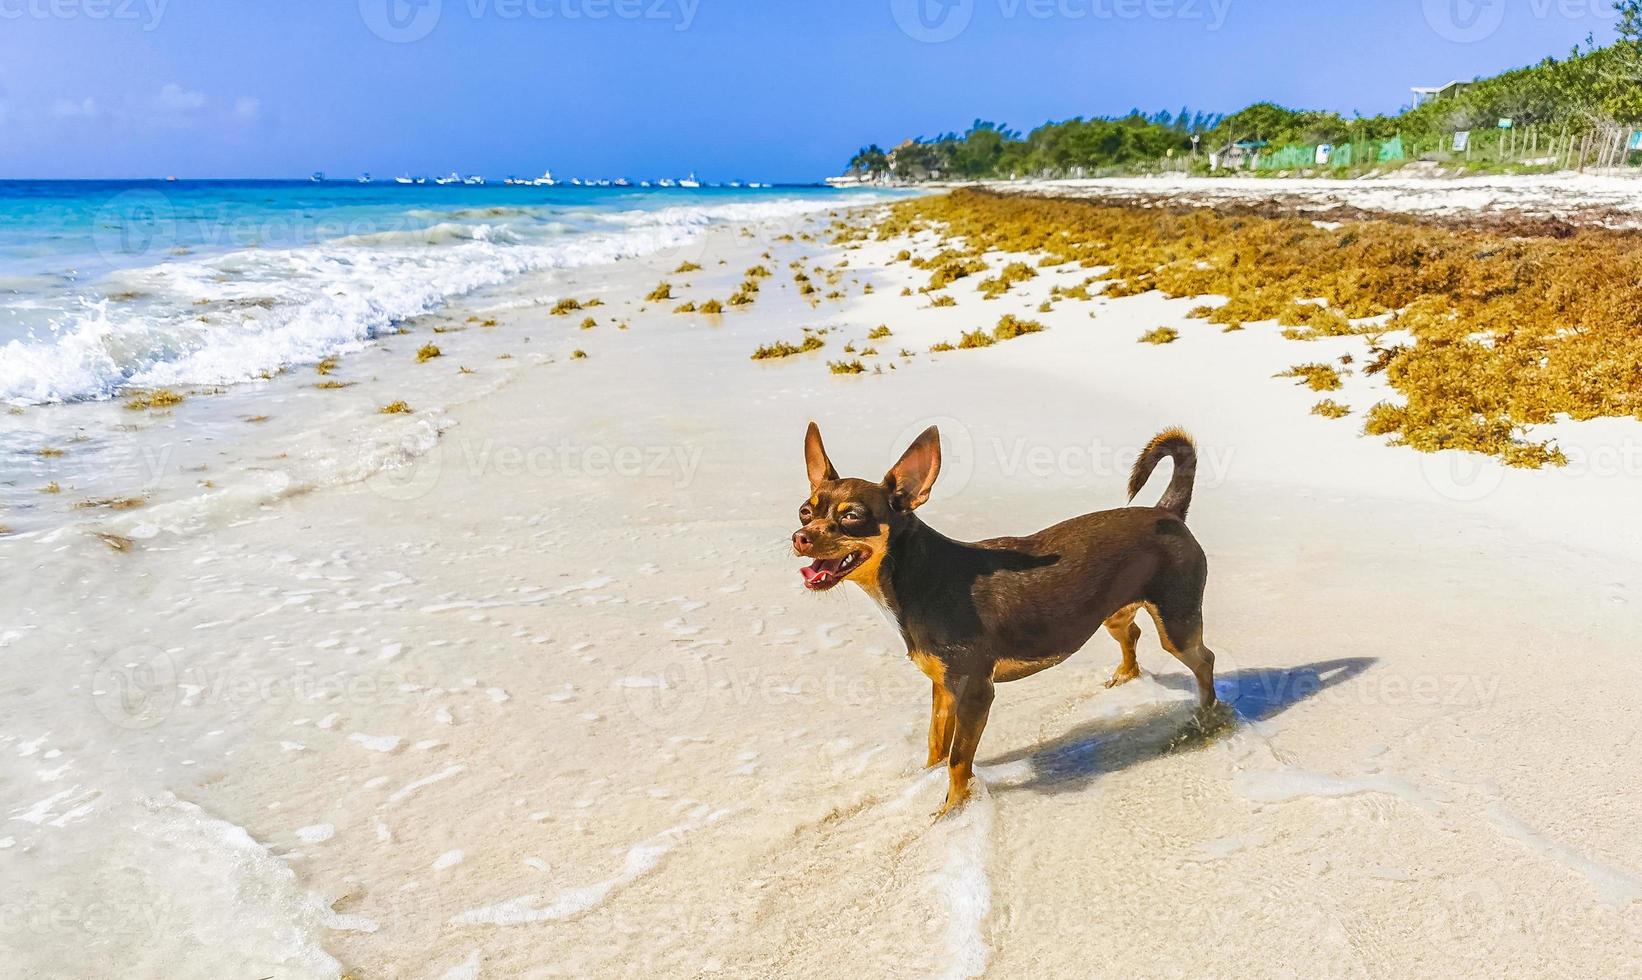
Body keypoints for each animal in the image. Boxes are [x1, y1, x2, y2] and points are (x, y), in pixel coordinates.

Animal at [794, 423, 1221, 814]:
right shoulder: (944, 689)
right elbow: (936, 745)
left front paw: (951, 811)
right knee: (1131, 634)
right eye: (805, 511)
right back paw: (1126, 677)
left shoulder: (975, 692)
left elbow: (957, 760)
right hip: (1113, 613)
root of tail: (1167, 512)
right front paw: (925, 782)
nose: (800, 536)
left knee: (1204, 659)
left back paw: (1204, 715)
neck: (916, 577)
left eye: (852, 517)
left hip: (1177, 625)